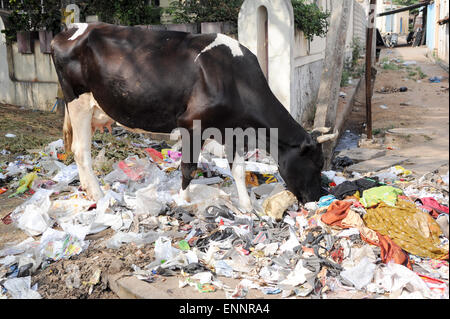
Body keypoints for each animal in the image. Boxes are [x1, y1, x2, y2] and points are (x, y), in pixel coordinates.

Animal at [51, 23, 336, 212]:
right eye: (316, 164)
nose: (316, 199)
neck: (234, 79)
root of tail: (68, 30)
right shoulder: (191, 125)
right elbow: (188, 167)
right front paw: (183, 201)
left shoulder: (232, 130)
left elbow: (238, 168)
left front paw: (246, 205)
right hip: (77, 101)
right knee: (80, 150)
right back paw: (98, 194)